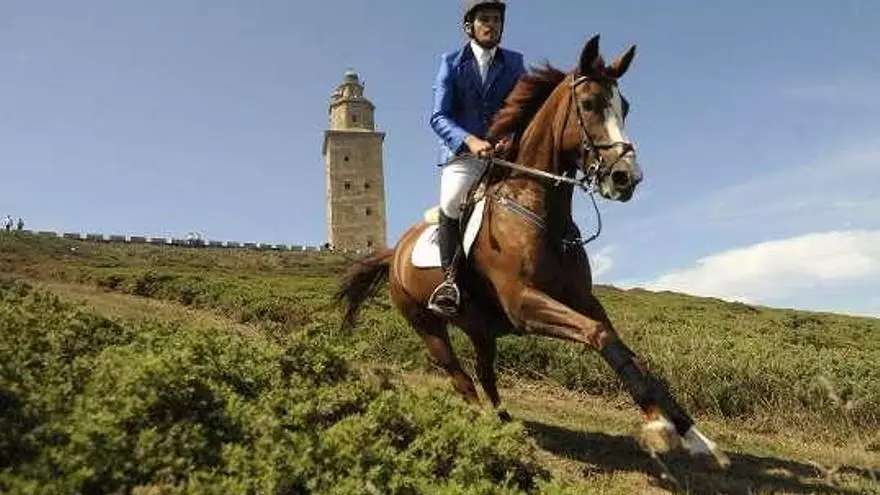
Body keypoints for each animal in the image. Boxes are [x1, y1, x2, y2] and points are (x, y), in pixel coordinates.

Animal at [334, 35, 730, 469]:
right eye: (588, 104)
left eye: (624, 106)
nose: (627, 177)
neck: (541, 210)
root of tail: (395, 252)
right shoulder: (525, 304)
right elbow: (599, 335)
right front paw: (660, 427)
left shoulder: (583, 300)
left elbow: (628, 350)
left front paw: (694, 435)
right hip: (427, 325)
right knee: (460, 377)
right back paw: (484, 430)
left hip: (480, 328)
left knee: (484, 373)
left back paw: (506, 424)